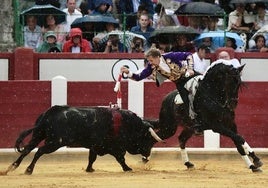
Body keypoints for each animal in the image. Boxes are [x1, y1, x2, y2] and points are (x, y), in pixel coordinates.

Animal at [2, 106, 162, 175]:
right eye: (147, 139)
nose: (147, 157)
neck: (125, 124)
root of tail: (50, 112)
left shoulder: (95, 146)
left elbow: (92, 158)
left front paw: (89, 169)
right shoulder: (111, 147)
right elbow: (120, 158)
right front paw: (128, 168)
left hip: (38, 135)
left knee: (27, 149)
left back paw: (12, 167)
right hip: (55, 142)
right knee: (39, 151)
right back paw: (28, 170)